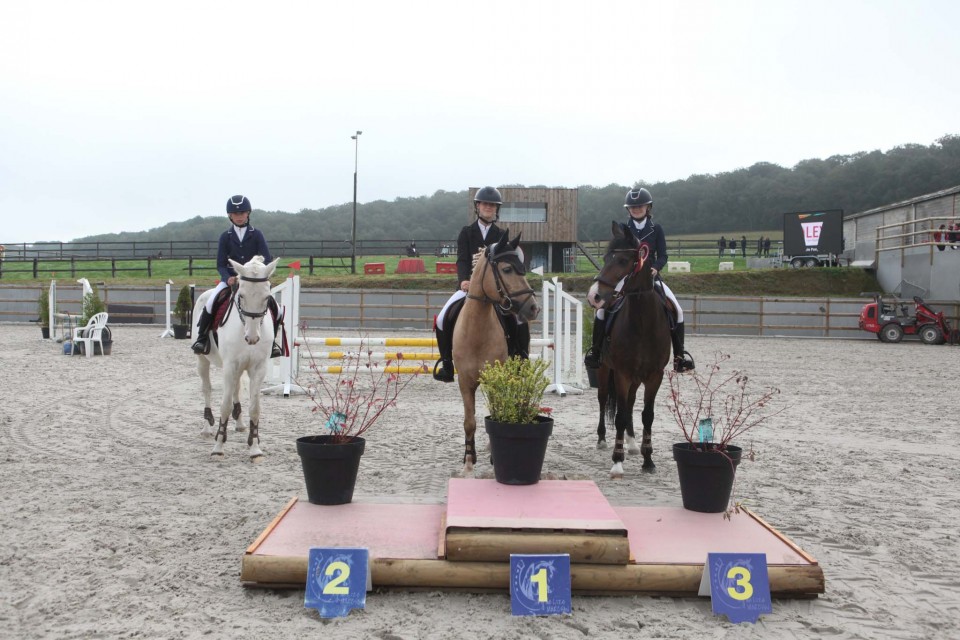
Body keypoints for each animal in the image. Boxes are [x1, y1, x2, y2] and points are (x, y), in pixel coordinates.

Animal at [452, 230, 536, 476]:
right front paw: (468, 461)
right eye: (507, 269)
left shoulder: (494, 379)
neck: (476, 332)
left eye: (523, 269)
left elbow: (497, 412)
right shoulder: (464, 382)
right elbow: (469, 421)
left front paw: (493, 455)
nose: (533, 308)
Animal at [580, 222, 672, 478]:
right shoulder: (621, 373)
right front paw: (617, 461)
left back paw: (631, 443)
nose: (594, 296)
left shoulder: (654, 376)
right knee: (604, 400)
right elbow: (619, 416)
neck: (643, 323)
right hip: (604, 370)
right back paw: (603, 439)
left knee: (630, 403)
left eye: (622, 261)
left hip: (636, 378)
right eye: (605, 257)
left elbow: (647, 415)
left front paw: (648, 460)